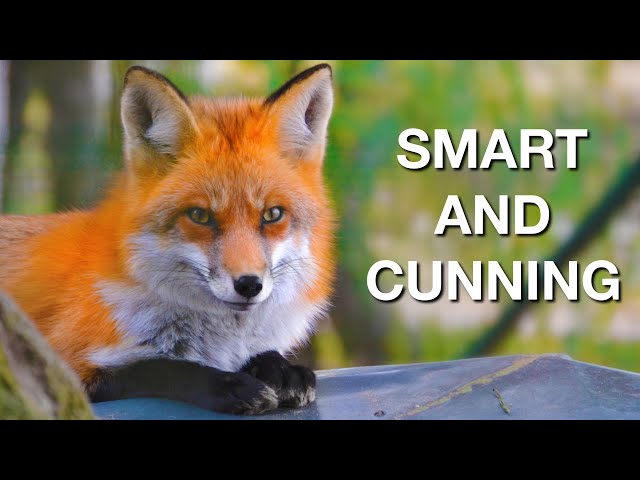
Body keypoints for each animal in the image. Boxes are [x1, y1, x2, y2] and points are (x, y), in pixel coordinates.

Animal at [0, 63, 336, 415]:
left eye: (272, 214)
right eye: (200, 216)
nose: (248, 285)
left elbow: (266, 353)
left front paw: (282, 371)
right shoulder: (58, 373)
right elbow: (162, 367)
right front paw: (231, 385)